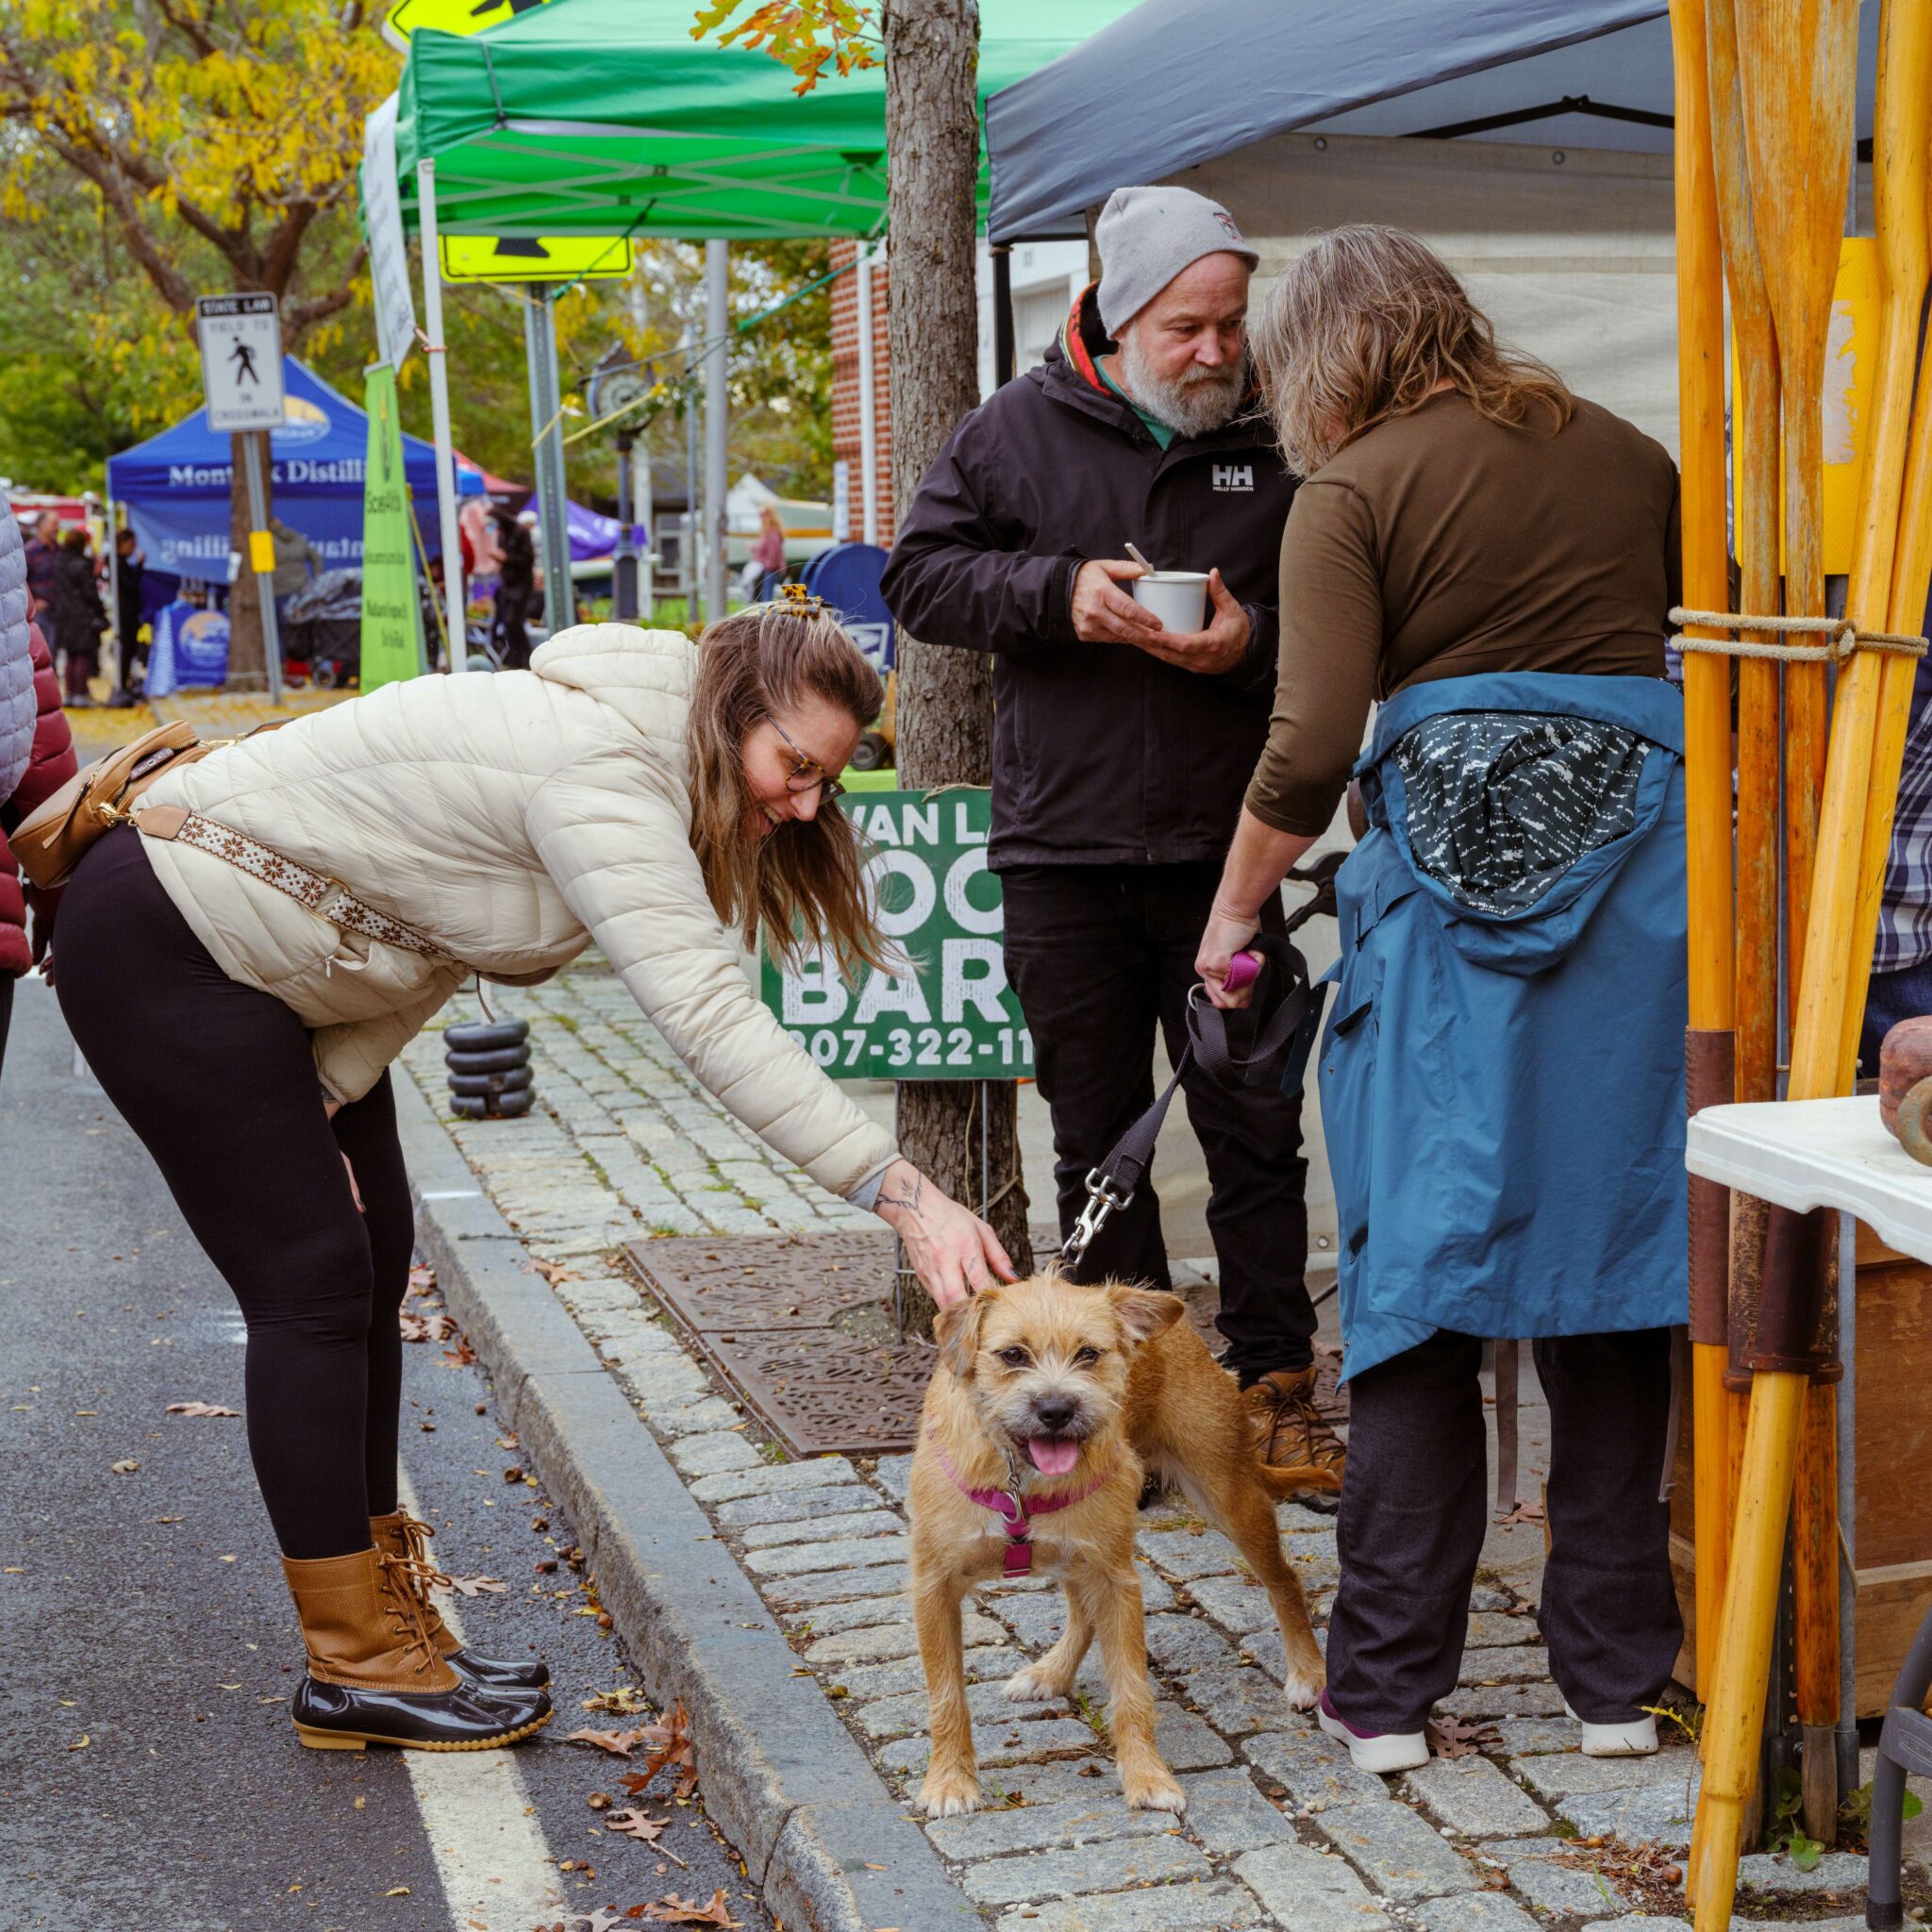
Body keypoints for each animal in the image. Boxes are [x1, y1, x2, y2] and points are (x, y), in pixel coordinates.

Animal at [900, 1274, 1329, 1816]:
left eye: (1089, 1353)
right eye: (1013, 1354)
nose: (1056, 1410)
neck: (1018, 1477)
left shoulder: (1118, 1582)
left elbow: (1130, 1688)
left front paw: (1146, 1774)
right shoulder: (933, 1590)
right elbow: (946, 1696)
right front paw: (950, 1781)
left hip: (1229, 1495)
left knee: (1285, 1580)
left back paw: (1309, 1672)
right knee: (1082, 1615)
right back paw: (1051, 1674)